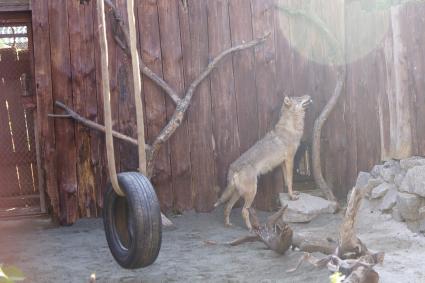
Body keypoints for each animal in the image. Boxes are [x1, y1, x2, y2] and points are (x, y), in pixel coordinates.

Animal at [214, 95, 310, 231]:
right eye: (299, 98)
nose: (309, 96)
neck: (290, 128)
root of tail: (233, 168)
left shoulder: (283, 162)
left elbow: (287, 181)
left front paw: (289, 193)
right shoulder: (289, 159)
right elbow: (290, 180)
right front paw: (292, 197)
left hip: (238, 193)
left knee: (227, 207)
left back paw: (228, 224)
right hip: (251, 193)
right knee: (244, 211)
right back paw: (251, 228)